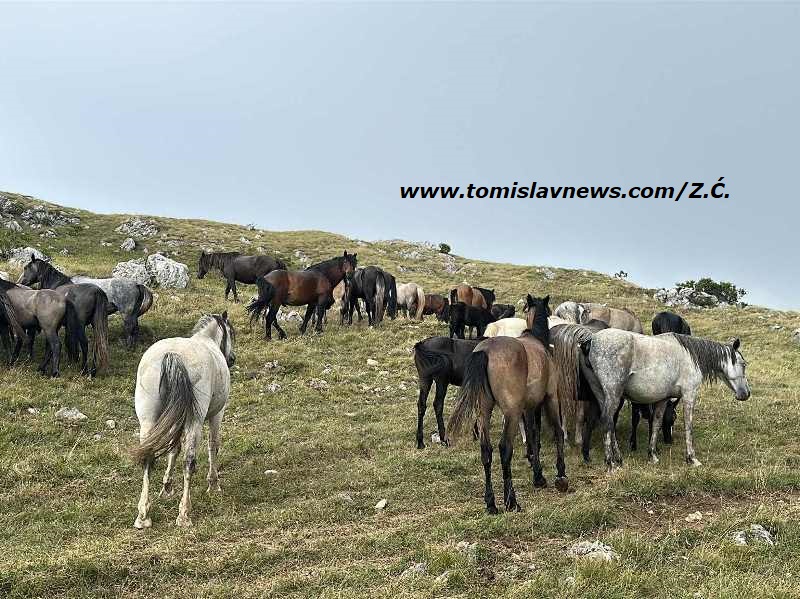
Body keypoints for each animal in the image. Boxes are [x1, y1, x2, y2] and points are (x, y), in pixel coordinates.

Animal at [131, 312, 236, 529]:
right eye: (231, 333)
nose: (232, 359)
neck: (207, 340)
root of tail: (172, 355)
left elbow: (173, 448)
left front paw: (167, 487)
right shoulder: (217, 414)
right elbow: (213, 445)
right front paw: (214, 484)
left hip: (148, 421)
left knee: (148, 457)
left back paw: (143, 515)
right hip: (195, 422)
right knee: (189, 461)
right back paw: (184, 513)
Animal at [447, 295, 569, 514]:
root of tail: (485, 352)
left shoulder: (529, 408)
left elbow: (533, 436)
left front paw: (538, 475)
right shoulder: (549, 399)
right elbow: (554, 432)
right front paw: (560, 475)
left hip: (484, 411)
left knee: (486, 450)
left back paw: (491, 503)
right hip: (511, 412)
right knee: (505, 448)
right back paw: (511, 501)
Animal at [580, 330, 750, 469]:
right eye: (743, 364)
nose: (746, 393)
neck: (690, 356)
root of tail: (591, 341)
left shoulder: (663, 399)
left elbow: (656, 423)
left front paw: (652, 455)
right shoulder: (689, 395)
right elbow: (688, 426)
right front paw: (691, 458)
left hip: (603, 395)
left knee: (610, 423)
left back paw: (619, 458)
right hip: (613, 395)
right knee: (607, 421)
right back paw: (610, 463)